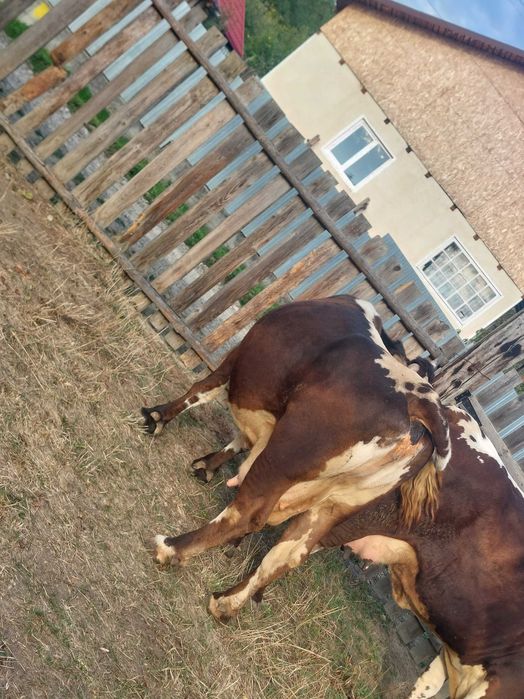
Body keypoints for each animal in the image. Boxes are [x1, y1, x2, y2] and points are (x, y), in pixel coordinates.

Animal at [143, 296, 450, 573]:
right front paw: (207, 465)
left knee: (246, 514)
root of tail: (419, 399)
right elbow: (241, 440)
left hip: (283, 458)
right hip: (337, 503)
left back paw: (170, 546)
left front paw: (158, 417)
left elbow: (202, 389)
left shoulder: (236, 357)